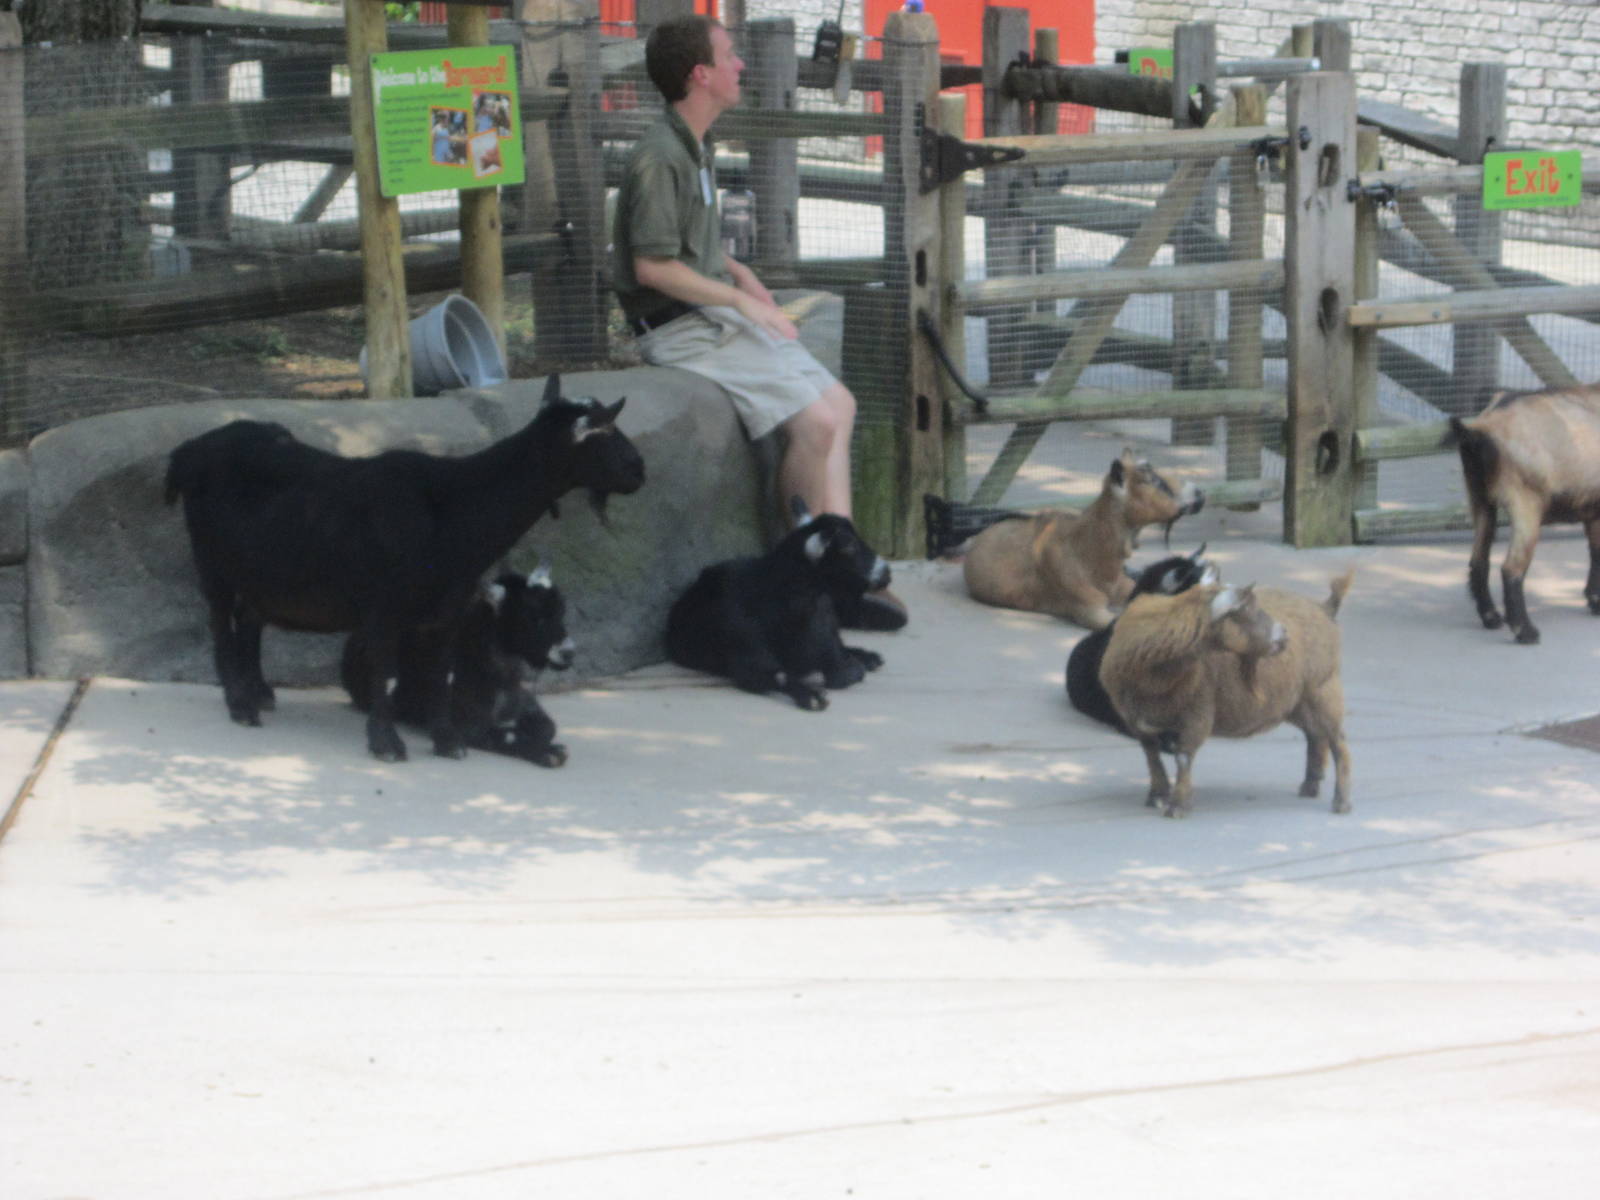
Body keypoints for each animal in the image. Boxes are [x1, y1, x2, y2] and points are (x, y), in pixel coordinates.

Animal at [342, 565, 574, 767]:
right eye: (533, 617)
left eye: (561, 611)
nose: (569, 652)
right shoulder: (468, 726)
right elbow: (509, 735)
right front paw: (550, 753)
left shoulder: (525, 703)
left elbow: (548, 727)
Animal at [665, 496, 889, 711]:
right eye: (848, 546)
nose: (886, 572)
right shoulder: (747, 656)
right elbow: (778, 675)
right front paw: (812, 696)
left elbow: (841, 664)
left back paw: (869, 656)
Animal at [1100, 571, 1354, 818]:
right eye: (1247, 611)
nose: (1284, 635)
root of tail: (1325, 608)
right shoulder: (1137, 722)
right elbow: (1151, 755)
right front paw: (1157, 796)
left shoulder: (1197, 716)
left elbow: (1183, 758)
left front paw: (1178, 805)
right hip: (1298, 702)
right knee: (1315, 735)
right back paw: (1310, 785)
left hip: (1324, 689)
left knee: (1338, 742)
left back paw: (1341, 802)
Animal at [1451, 383, 1600, 644]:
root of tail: (1483, 428)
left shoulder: (1592, 507)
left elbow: (1595, 552)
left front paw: (1595, 601)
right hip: (1526, 503)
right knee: (1511, 568)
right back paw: (1526, 631)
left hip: (1480, 498)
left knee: (1479, 560)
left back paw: (1491, 618)